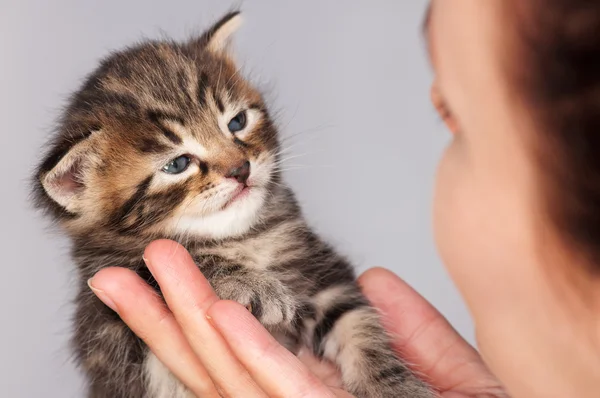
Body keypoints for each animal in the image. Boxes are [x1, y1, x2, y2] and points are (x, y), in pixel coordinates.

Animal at [32, 10, 434, 396]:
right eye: (177, 164)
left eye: (237, 122)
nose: (241, 169)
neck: (240, 237)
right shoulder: (109, 308)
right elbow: (178, 266)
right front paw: (252, 285)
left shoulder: (324, 275)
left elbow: (361, 329)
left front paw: (395, 387)